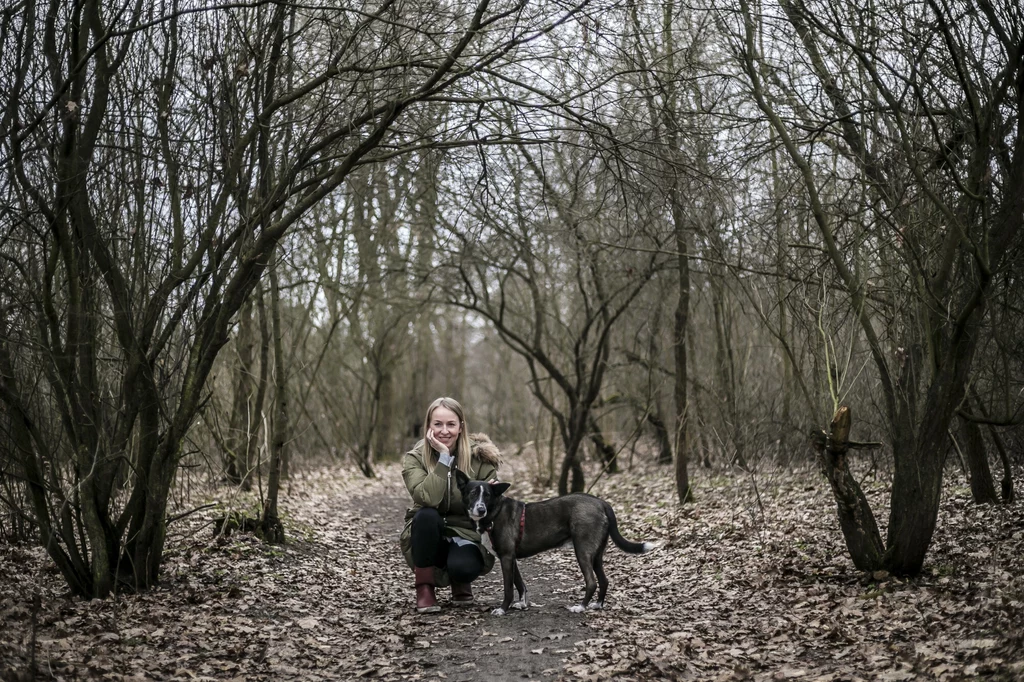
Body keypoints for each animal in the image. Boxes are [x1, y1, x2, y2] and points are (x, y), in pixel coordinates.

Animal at [456, 471, 655, 614]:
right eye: (473, 493)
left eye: (488, 495)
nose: (480, 509)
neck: (493, 513)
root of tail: (601, 502)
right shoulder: (511, 558)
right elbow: (520, 583)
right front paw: (522, 604)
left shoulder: (506, 557)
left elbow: (508, 588)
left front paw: (503, 609)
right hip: (597, 553)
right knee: (604, 580)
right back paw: (597, 605)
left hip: (583, 551)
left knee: (592, 581)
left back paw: (580, 607)